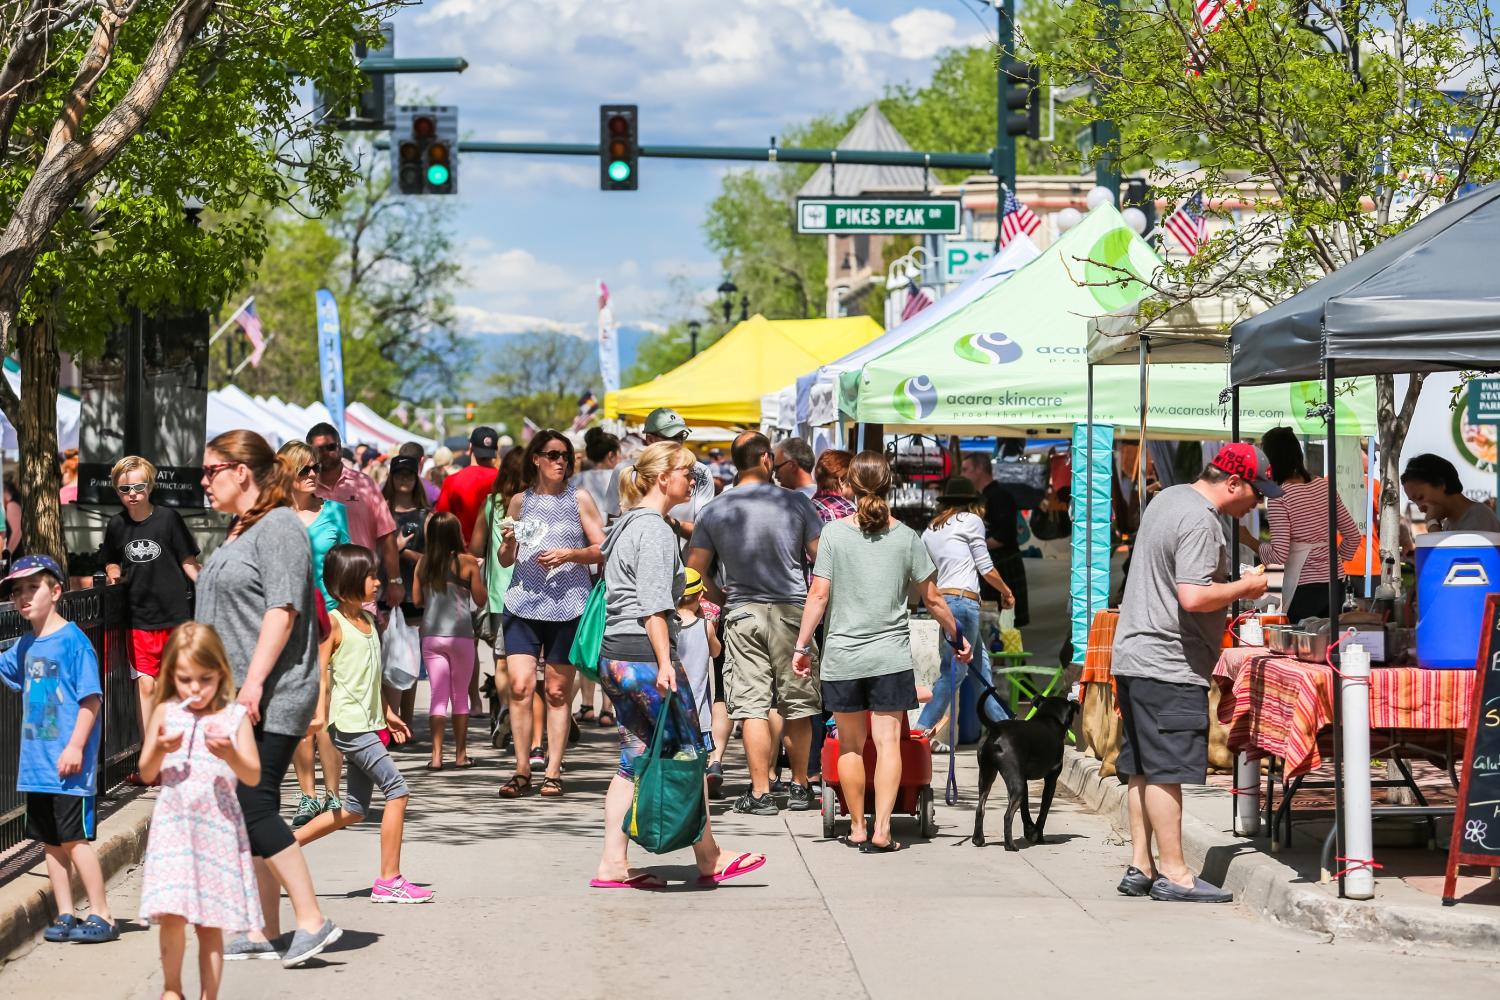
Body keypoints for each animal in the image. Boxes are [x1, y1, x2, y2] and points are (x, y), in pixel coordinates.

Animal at [972, 695, 1080, 851]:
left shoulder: (1024, 780)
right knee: (1007, 816)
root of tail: (997, 728)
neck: (1048, 716)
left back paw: (978, 839)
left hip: (987, 776)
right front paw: (1038, 837)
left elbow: (1025, 809)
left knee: (980, 809)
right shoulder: (1051, 780)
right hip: (1016, 784)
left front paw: (1029, 830)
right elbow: (1043, 811)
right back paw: (1010, 845)